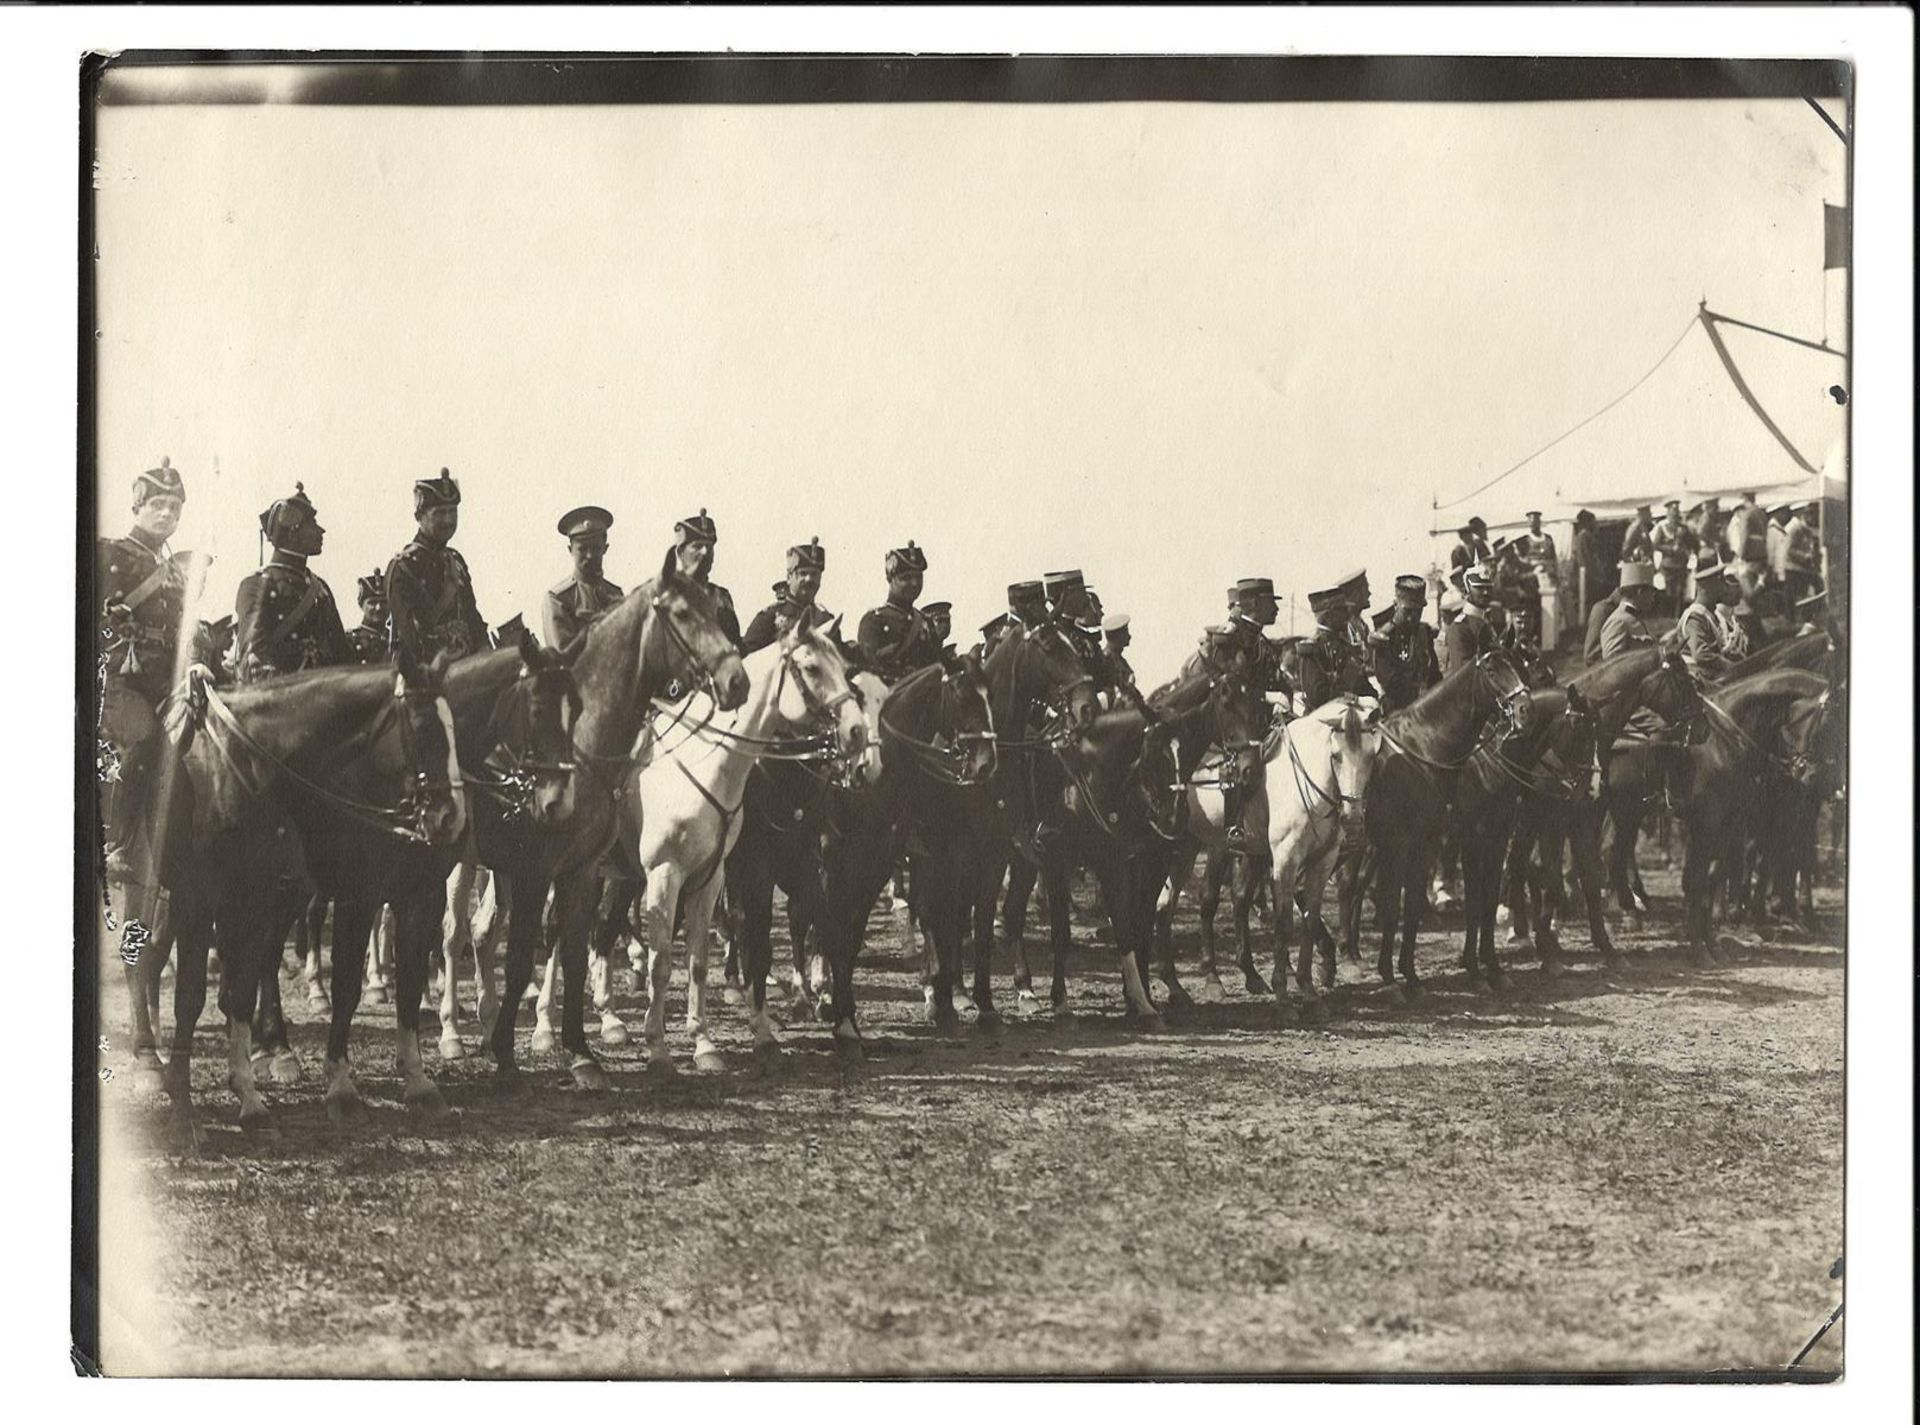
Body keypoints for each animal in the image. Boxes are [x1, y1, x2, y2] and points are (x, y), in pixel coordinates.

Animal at [614, 618, 871, 1075]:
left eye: (846, 669)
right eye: (811, 668)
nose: (856, 733)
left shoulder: (719, 876)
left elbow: (700, 961)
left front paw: (704, 1042)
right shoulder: (675, 873)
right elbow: (667, 962)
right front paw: (659, 1049)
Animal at [1259, 695, 1382, 1021]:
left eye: (1371, 756)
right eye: (1336, 756)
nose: (1352, 818)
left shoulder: (1322, 861)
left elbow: (1311, 918)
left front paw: (1311, 994)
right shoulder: (1285, 860)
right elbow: (1284, 923)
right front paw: (1283, 997)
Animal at [1359, 652, 1536, 998]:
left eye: (1518, 666)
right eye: (1492, 670)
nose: (1524, 710)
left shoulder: (1436, 840)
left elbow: (1420, 904)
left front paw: (1413, 976)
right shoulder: (1412, 841)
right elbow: (1396, 906)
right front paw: (1390, 977)